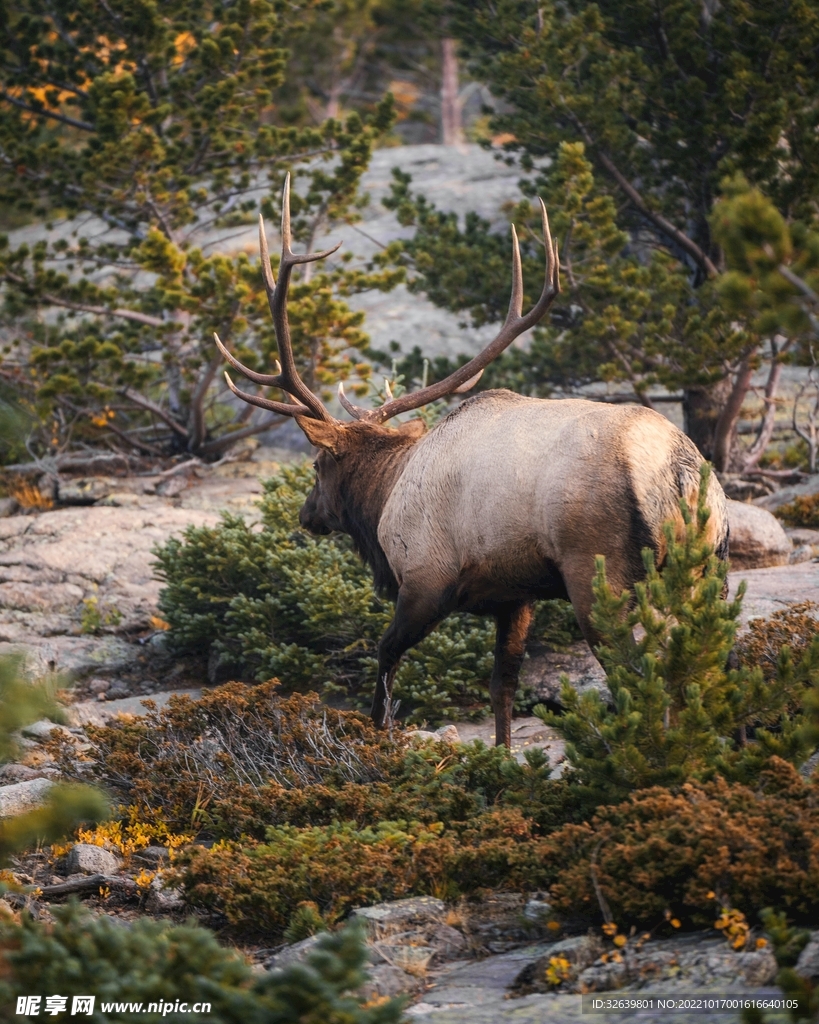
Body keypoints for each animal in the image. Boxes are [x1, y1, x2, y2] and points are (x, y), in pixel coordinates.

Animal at [215, 176, 729, 749]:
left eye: (316, 466)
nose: (307, 514)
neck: (383, 498)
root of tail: (679, 475)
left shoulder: (425, 576)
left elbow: (385, 659)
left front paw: (377, 738)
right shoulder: (515, 594)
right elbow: (502, 684)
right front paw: (501, 756)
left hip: (601, 571)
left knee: (637, 672)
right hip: (707, 567)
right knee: (703, 666)